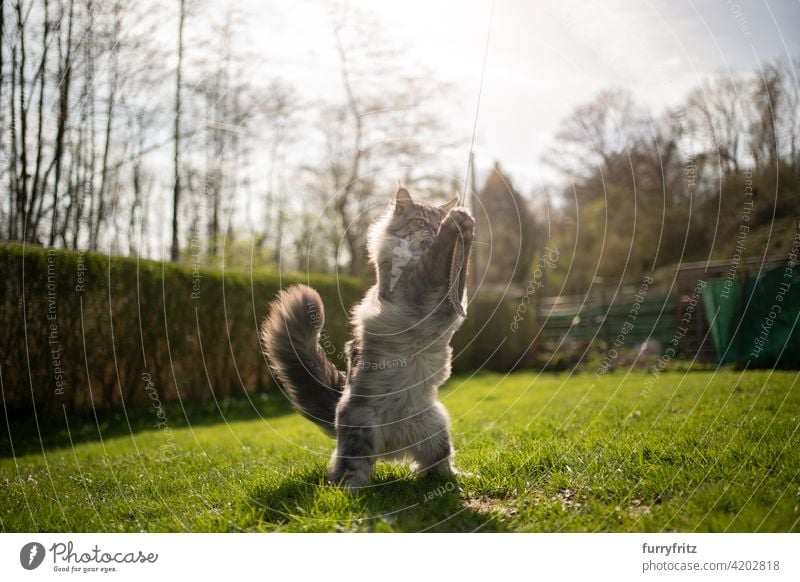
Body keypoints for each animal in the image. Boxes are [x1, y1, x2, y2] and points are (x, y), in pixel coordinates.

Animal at [262, 186, 476, 488]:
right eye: (421, 222)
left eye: (434, 222)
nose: (434, 229)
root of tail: (393, 446)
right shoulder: (418, 289)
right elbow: (437, 259)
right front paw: (454, 224)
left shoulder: (448, 302)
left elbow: (459, 271)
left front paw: (465, 228)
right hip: (361, 433)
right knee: (347, 473)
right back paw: (353, 492)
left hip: (436, 427)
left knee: (436, 465)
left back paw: (459, 478)